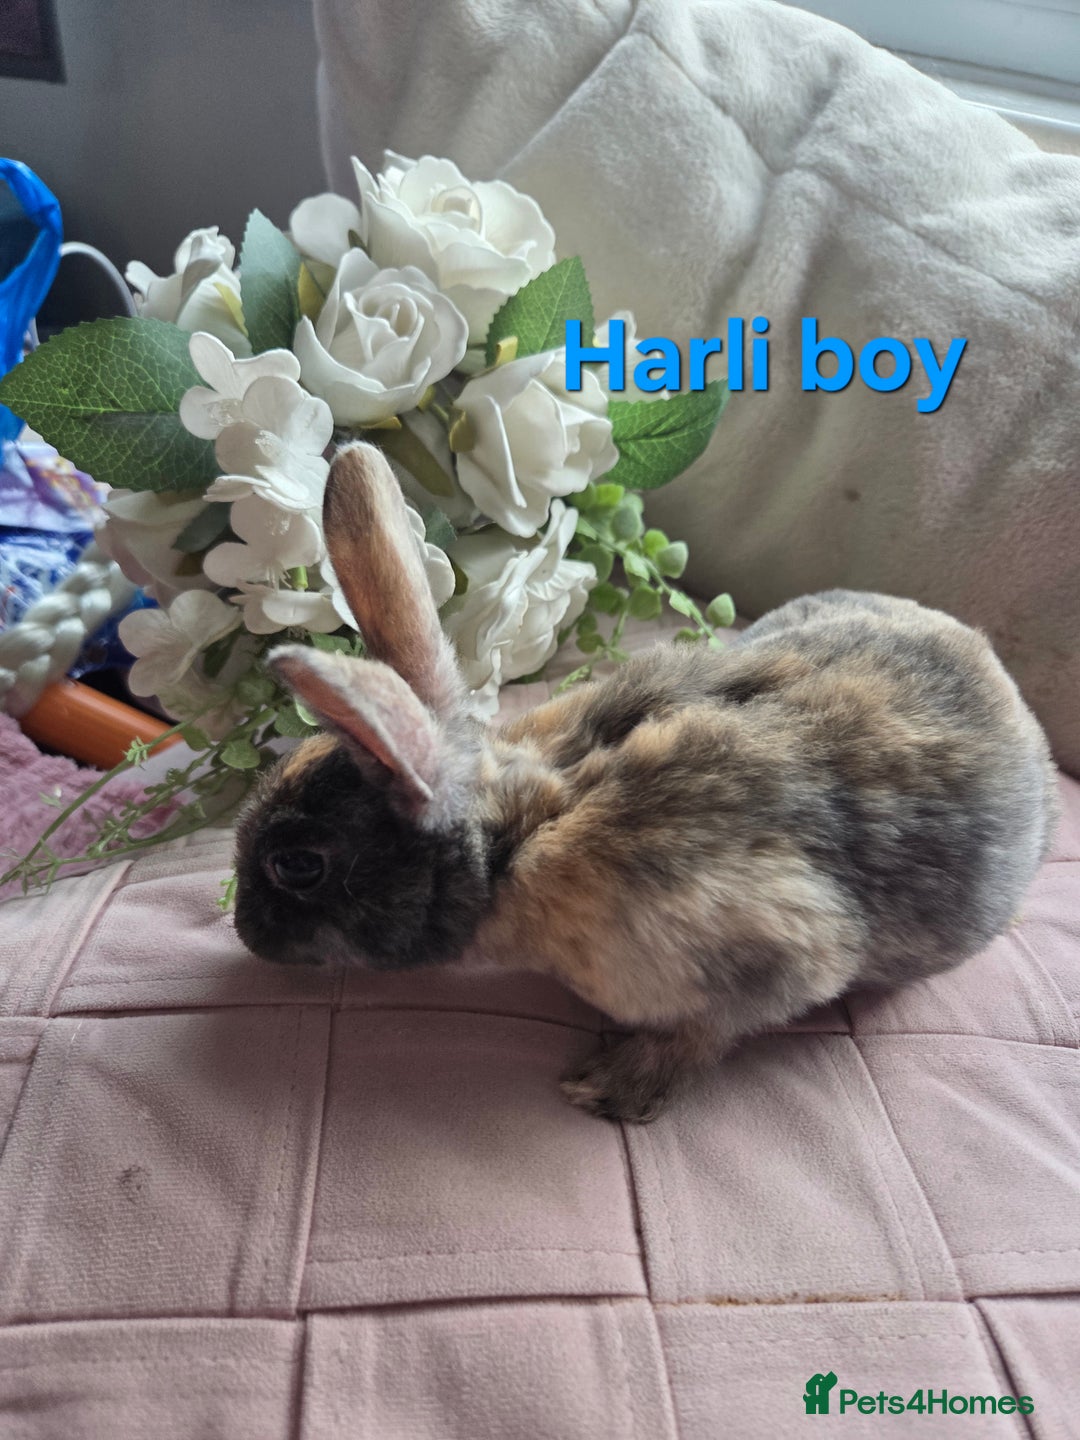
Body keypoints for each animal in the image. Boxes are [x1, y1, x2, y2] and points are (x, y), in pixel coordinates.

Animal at [233, 442, 1059, 1123]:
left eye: (298, 865)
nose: (244, 933)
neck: (520, 834)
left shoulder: (773, 951)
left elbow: (707, 1031)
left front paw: (607, 1089)